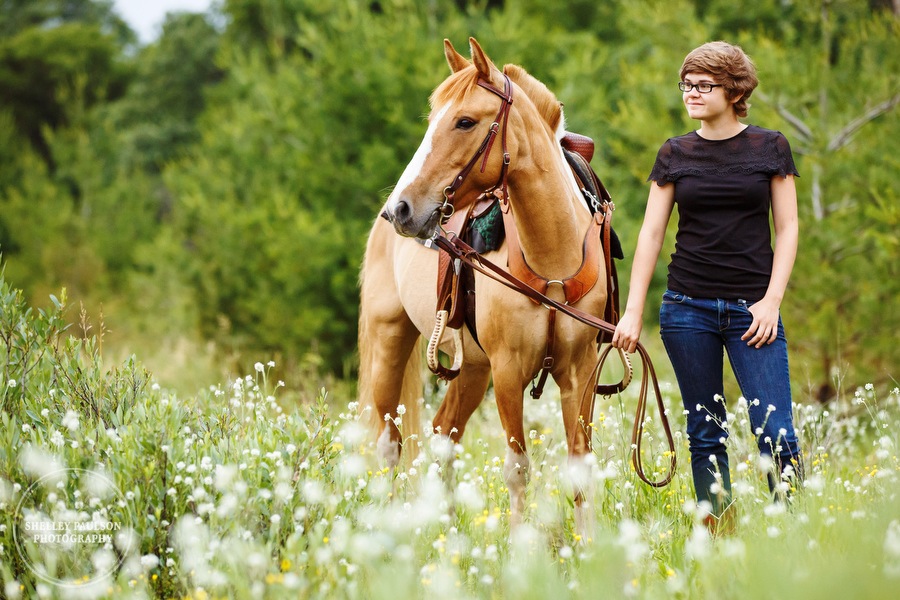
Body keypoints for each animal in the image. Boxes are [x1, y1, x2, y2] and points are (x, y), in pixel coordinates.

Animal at [358, 39, 612, 532]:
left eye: (464, 121)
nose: (401, 209)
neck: (551, 259)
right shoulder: (509, 372)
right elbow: (517, 469)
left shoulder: (579, 372)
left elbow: (580, 469)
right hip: (389, 341)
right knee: (389, 445)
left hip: (472, 370)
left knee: (443, 436)